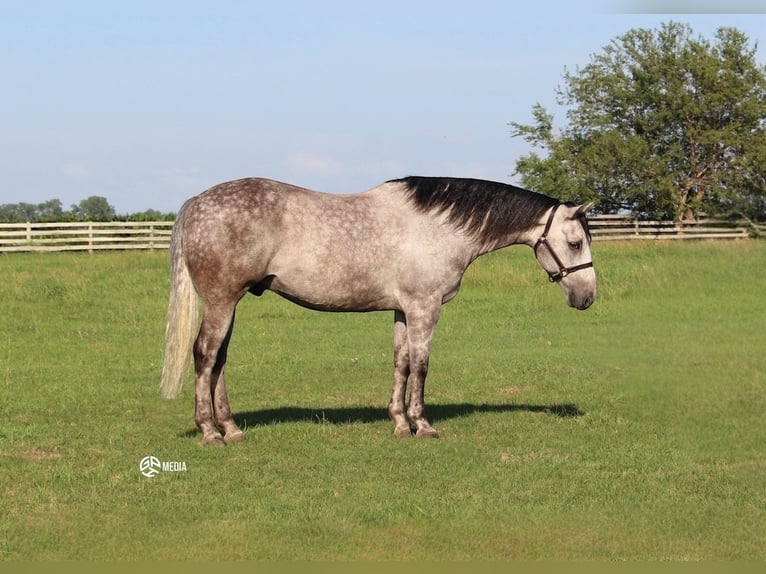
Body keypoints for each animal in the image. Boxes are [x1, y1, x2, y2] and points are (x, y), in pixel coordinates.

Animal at [160, 176, 596, 445]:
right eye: (575, 243)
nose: (587, 297)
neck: (438, 228)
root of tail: (195, 203)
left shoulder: (403, 310)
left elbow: (401, 362)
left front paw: (399, 423)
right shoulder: (424, 308)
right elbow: (421, 365)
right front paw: (423, 425)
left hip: (228, 303)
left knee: (219, 360)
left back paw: (231, 428)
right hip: (221, 302)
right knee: (205, 355)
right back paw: (210, 432)